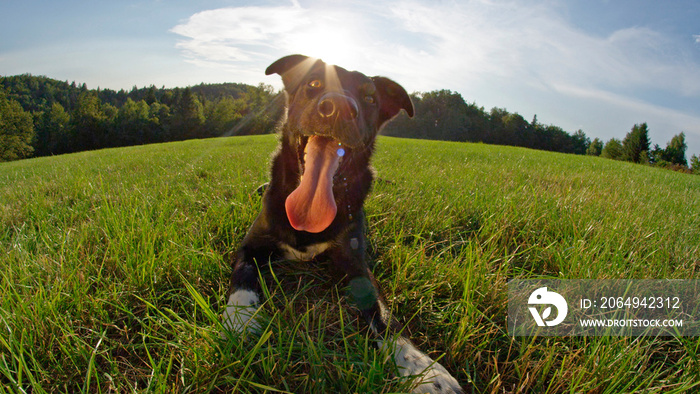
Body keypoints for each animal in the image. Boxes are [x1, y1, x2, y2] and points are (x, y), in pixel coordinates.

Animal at [224, 53, 462, 392]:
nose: (338, 106)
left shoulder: (354, 262)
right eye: (313, 83)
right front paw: (241, 320)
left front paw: (424, 370)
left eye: (370, 98)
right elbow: (242, 279)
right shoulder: (251, 246)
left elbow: (382, 311)